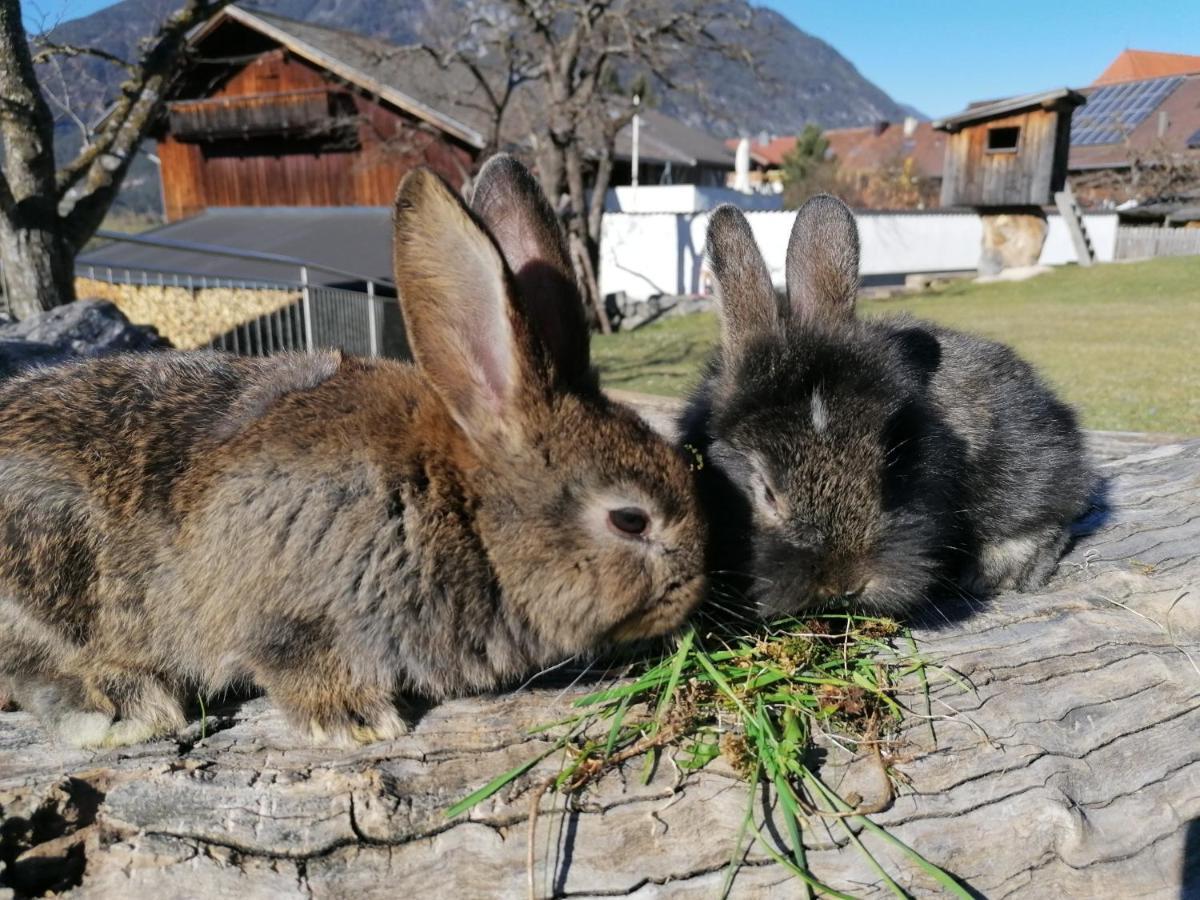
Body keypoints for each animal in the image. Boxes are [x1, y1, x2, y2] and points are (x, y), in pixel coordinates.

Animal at [0, 154, 705, 748]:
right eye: (630, 519)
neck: (456, 500)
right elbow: (295, 662)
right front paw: (358, 721)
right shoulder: (289, 609)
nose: (695, 591)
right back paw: (124, 707)